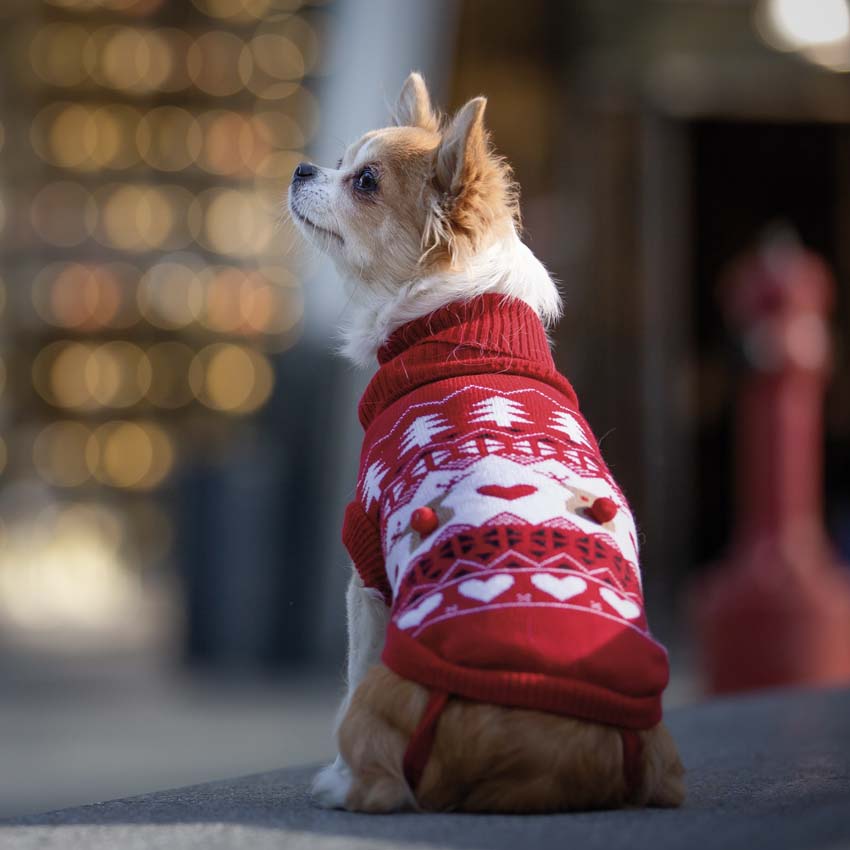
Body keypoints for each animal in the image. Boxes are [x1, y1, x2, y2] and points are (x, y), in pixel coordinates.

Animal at [288, 71, 684, 808]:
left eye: (364, 182)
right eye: (338, 159)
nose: (302, 168)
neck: (461, 321)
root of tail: (537, 756)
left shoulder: (365, 566)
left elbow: (350, 666)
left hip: (385, 692)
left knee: (376, 769)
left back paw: (339, 783)